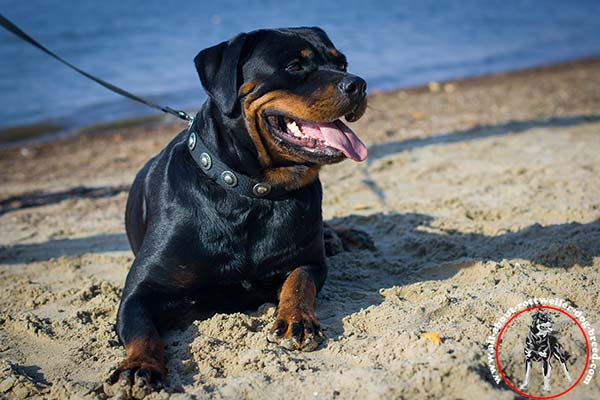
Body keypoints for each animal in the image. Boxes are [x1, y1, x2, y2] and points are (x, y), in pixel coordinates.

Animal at [104, 26, 370, 396]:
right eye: (294, 66)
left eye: (341, 63)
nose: (358, 83)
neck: (252, 193)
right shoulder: (140, 293)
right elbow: (143, 331)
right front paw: (138, 365)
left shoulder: (309, 260)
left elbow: (298, 282)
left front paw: (297, 320)